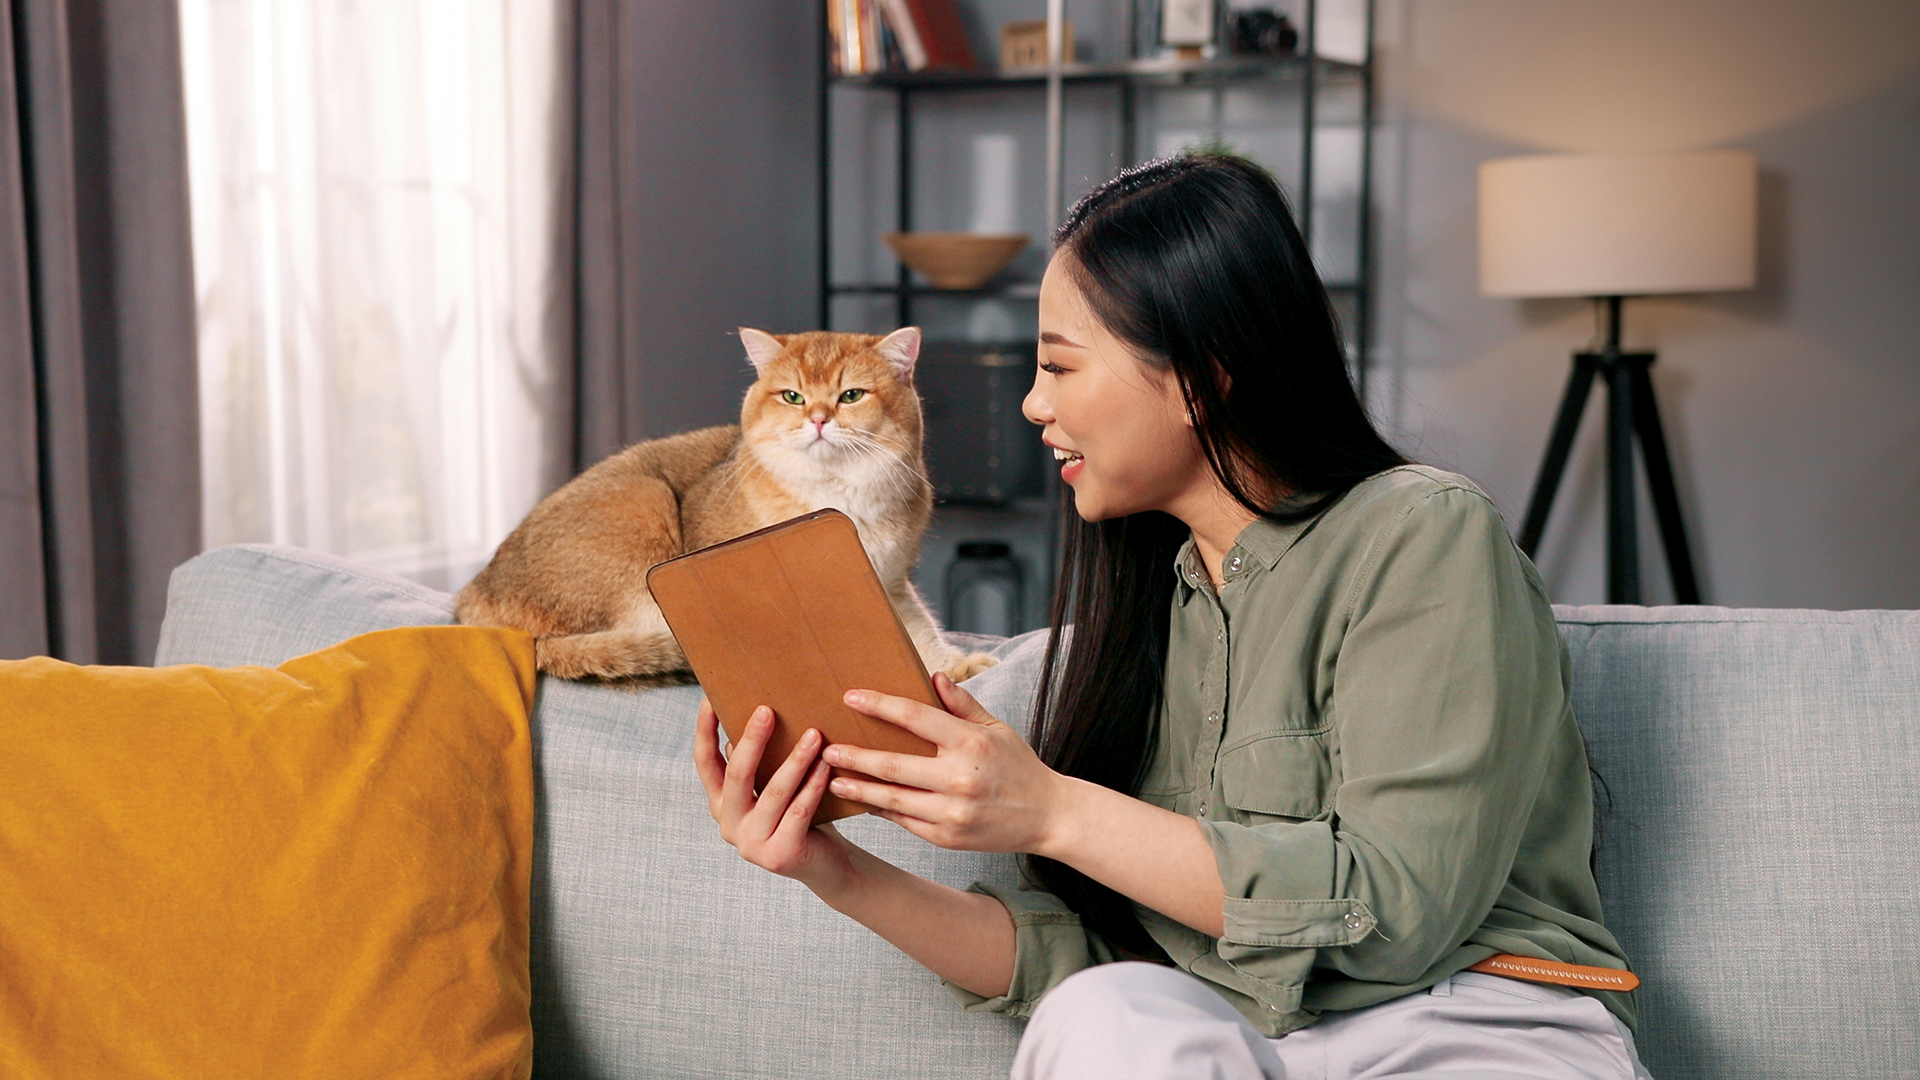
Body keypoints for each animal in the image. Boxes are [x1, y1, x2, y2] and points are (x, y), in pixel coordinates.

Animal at [456, 322, 998, 684]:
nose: (820, 419)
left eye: (852, 395)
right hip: (643, 501)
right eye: (792, 396)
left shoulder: (890, 582)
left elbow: (922, 633)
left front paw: (958, 665)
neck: (837, 491)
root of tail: (474, 597)